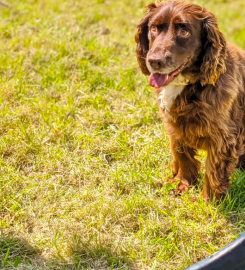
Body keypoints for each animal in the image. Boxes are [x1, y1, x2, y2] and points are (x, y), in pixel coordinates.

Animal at [135, 1, 245, 200]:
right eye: (153, 28)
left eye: (184, 31)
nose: (154, 61)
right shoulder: (176, 127)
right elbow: (182, 155)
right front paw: (182, 183)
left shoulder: (223, 137)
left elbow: (214, 171)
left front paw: (208, 201)